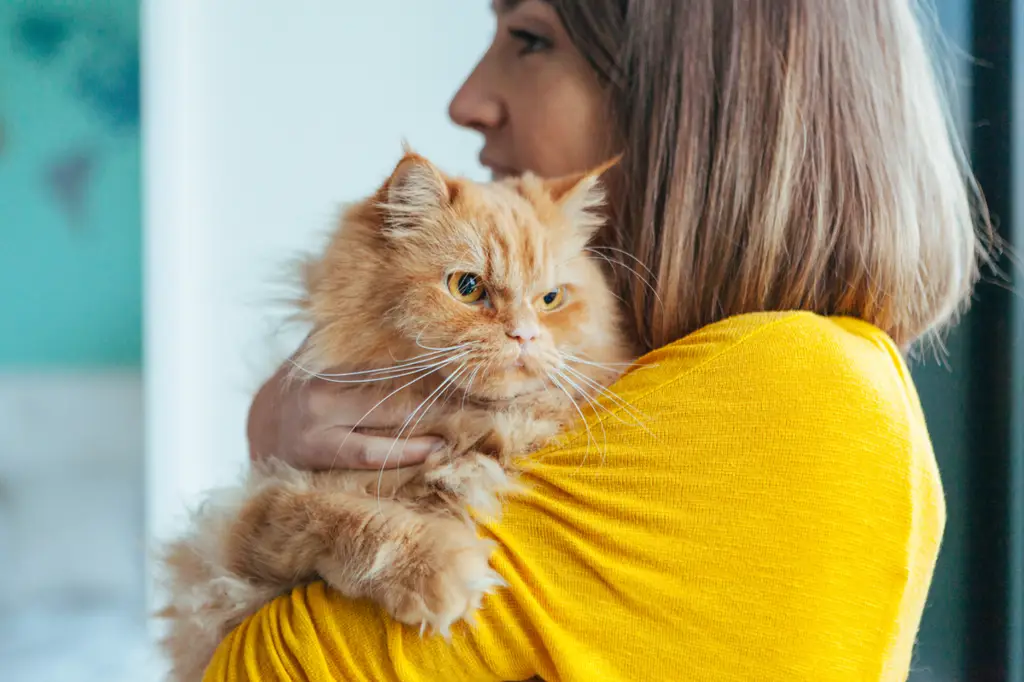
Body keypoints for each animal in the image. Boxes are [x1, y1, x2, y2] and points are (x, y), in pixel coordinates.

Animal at [155, 150, 630, 679]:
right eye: (467, 287)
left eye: (551, 300)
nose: (525, 335)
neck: (467, 429)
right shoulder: (245, 529)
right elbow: (347, 518)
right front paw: (439, 571)